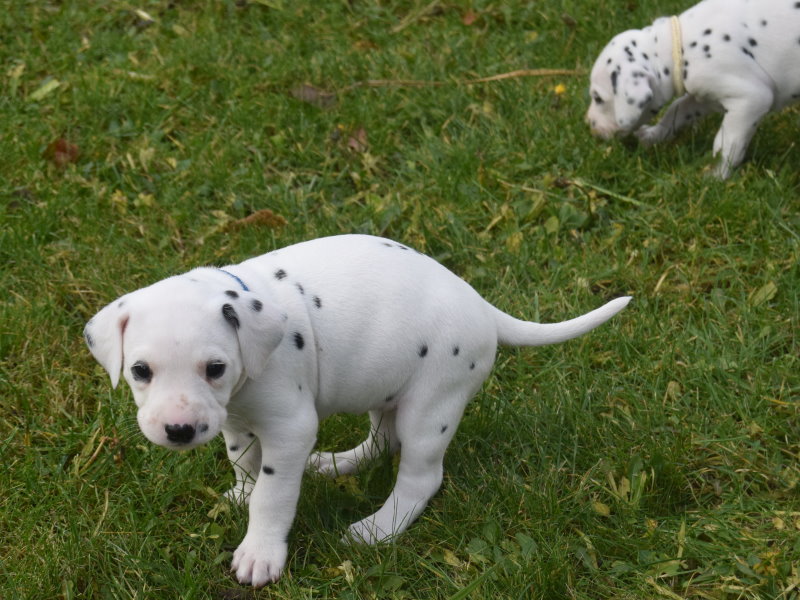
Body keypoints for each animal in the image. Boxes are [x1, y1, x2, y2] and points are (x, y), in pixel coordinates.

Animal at [84, 234, 631, 587]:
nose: (178, 430)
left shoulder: (290, 428)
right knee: (382, 442)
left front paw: (260, 551)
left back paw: (377, 529)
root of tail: (482, 307)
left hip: (430, 407)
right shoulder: (234, 420)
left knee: (420, 477)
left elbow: (273, 495)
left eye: (214, 367)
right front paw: (240, 492)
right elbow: (244, 463)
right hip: (385, 389)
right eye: (140, 370)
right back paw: (335, 464)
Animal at [586, 0, 800, 178]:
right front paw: (654, 135)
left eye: (598, 98)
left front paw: (716, 175)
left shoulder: (751, 99)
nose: (588, 124)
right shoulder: (705, 97)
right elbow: (677, 110)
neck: (681, 47)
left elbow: (728, 143)